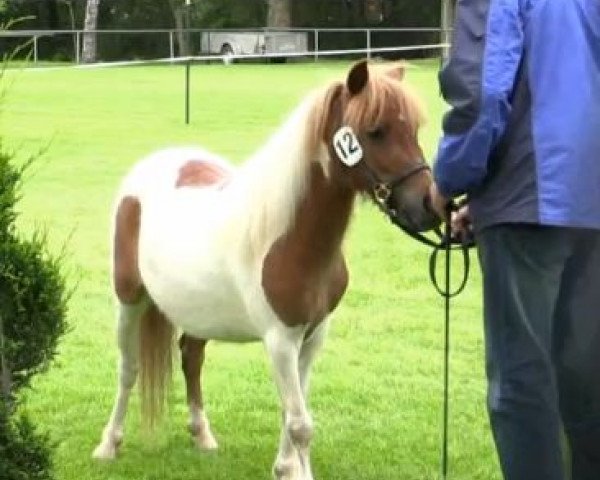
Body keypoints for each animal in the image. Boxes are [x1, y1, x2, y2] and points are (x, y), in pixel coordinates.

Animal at [95, 62, 440, 478]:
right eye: (375, 130)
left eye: (413, 129)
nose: (429, 205)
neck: (288, 238)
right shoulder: (280, 340)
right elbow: (301, 424)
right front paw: (295, 470)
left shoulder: (313, 336)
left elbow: (293, 414)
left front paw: (285, 466)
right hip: (129, 300)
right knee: (128, 369)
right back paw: (109, 444)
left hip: (198, 313)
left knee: (191, 358)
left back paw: (202, 435)